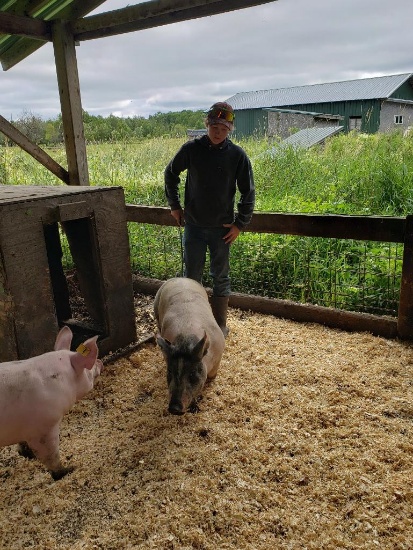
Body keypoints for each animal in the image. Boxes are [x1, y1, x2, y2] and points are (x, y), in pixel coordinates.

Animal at [0, 326, 102, 480]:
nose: (100, 362)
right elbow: (50, 455)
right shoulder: (42, 428)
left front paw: (26, 453)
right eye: (87, 368)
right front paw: (66, 471)